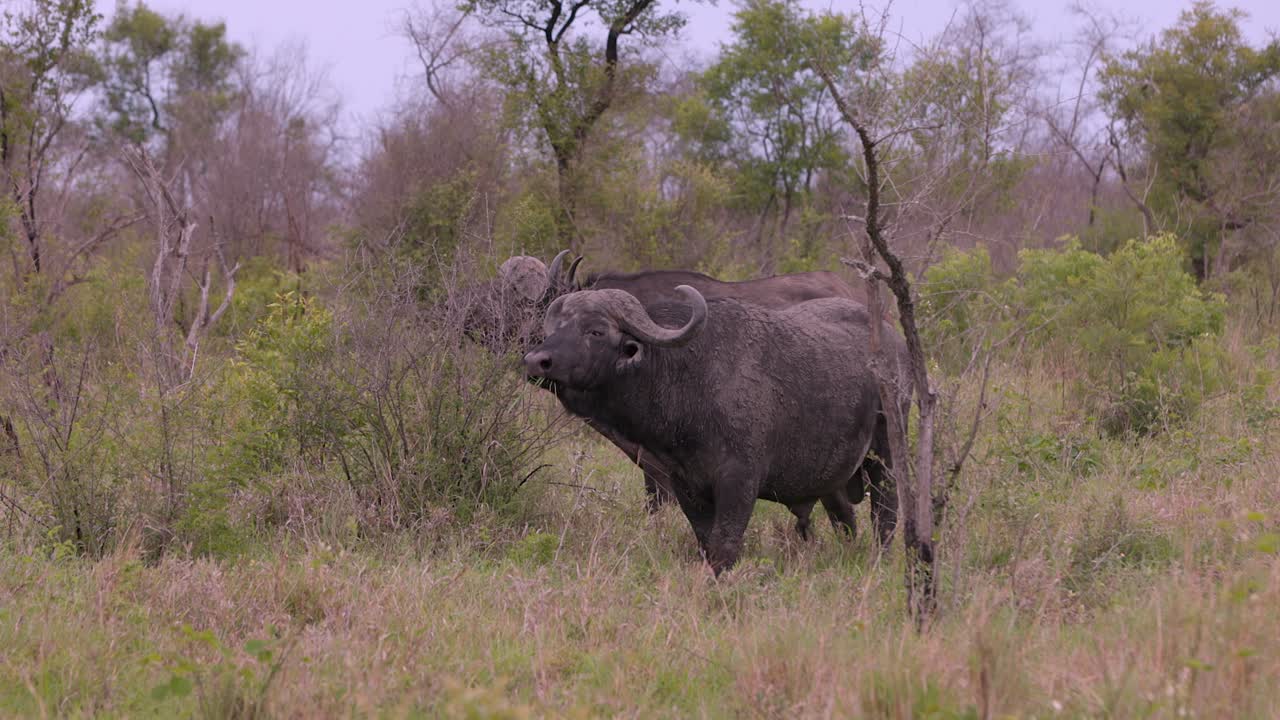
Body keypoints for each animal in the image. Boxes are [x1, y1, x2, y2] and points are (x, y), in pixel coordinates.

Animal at [523, 285, 911, 574]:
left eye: (596, 330)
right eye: (556, 328)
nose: (535, 361)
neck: (690, 381)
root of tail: (894, 343)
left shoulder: (740, 482)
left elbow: (725, 545)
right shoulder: (685, 486)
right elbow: (705, 542)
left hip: (886, 458)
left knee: (885, 517)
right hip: (831, 476)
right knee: (845, 518)